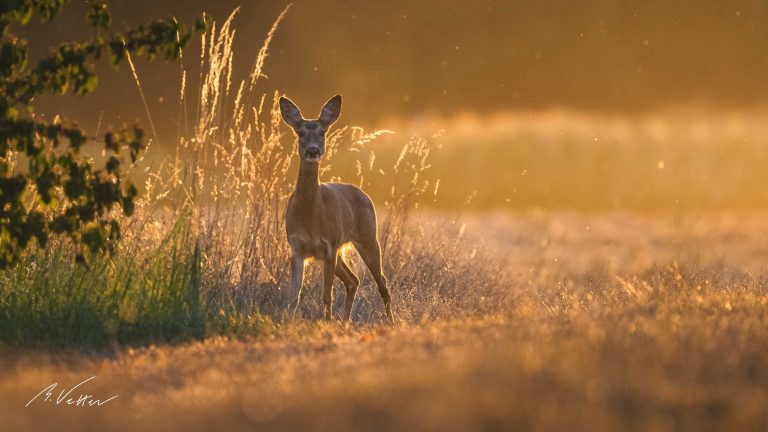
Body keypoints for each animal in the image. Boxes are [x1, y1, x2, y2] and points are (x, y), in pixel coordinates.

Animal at [280, 95, 392, 324]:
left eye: (323, 132)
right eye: (300, 132)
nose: (313, 150)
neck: (310, 216)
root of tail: (364, 195)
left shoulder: (329, 244)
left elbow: (326, 295)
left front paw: (326, 322)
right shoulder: (296, 247)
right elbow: (293, 297)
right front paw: (288, 324)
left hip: (368, 238)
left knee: (382, 285)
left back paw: (392, 323)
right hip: (342, 249)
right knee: (353, 280)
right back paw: (345, 322)